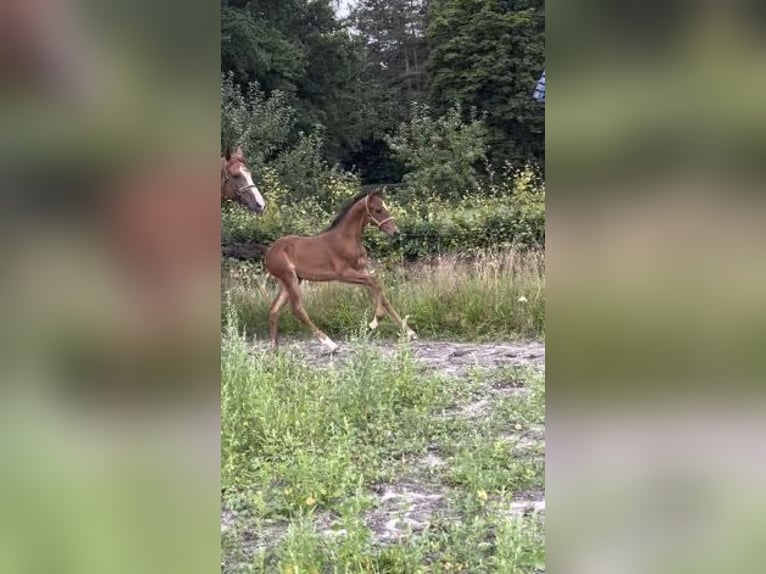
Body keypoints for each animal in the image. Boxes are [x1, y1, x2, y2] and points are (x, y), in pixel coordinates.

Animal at [266, 190, 420, 352]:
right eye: (378, 210)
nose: (396, 232)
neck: (346, 239)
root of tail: (268, 253)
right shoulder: (344, 274)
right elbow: (375, 283)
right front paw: (374, 321)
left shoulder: (363, 271)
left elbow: (382, 296)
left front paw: (410, 332)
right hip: (289, 278)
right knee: (297, 309)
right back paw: (330, 343)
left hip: (292, 280)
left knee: (274, 310)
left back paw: (275, 349)